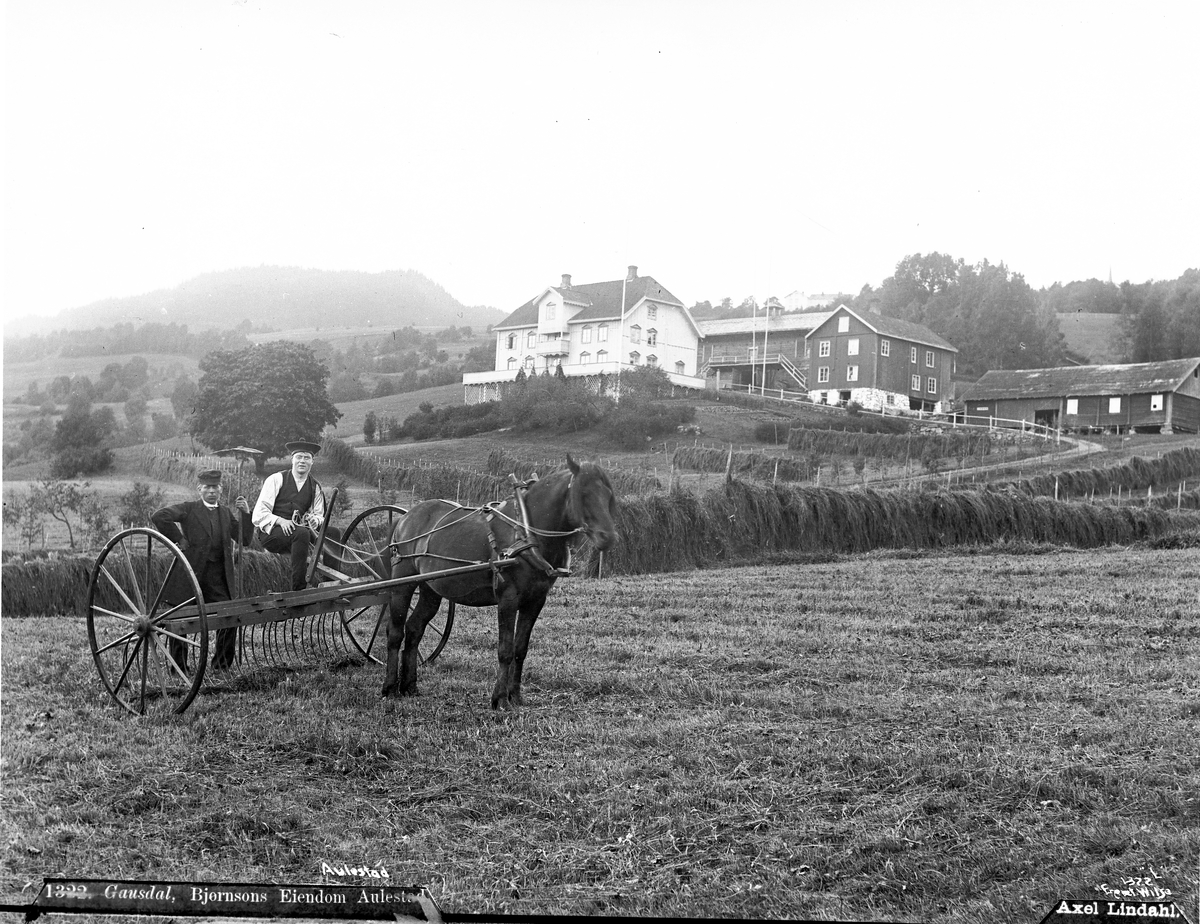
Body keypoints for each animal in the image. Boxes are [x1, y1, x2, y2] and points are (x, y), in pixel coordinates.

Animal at [384, 453, 619, 705]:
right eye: (583, 493)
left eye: (608, 495)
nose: (608, 537)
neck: (526, 532)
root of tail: (405, 518)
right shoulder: (508, 598)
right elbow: (505, 650)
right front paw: (500, 698)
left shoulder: (535, 600)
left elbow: (520, 649)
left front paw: (515, 696)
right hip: (403, 583)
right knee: (396, 632)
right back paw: (389, 687)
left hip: (431, 588)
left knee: (414, 629)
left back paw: (409, 686)